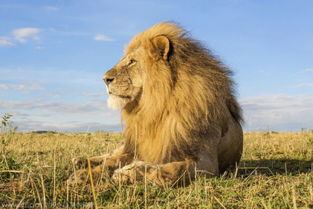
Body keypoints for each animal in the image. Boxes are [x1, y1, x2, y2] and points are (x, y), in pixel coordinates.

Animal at [67, 22, 244, 186]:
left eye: (132, 62)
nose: (105, 79)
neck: (156, 107)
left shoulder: (208, 163)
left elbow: (172, 170)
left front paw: (127, 172)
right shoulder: (138, 148)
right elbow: (111, 163)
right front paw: (84, 175)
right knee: (109, 155)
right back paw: (80, 160)